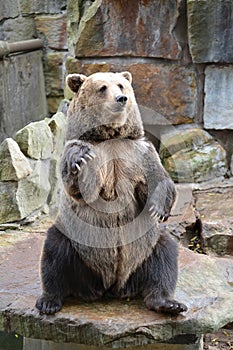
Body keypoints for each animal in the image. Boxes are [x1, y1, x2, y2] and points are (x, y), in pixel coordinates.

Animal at [35, 71, 187, 314]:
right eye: (102, 88)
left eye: (121, 85)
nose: (121, 99)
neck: (111, 137)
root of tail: (112, 286)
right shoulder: (91, 152)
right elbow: (80, 189)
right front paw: (79, 159)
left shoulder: (138, 152)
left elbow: (159, 179)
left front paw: (158, 208)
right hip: (78, 245)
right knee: (54, 253)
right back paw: (49, 302)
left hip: (145, 248)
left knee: (165, 255)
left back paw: (168, 303)